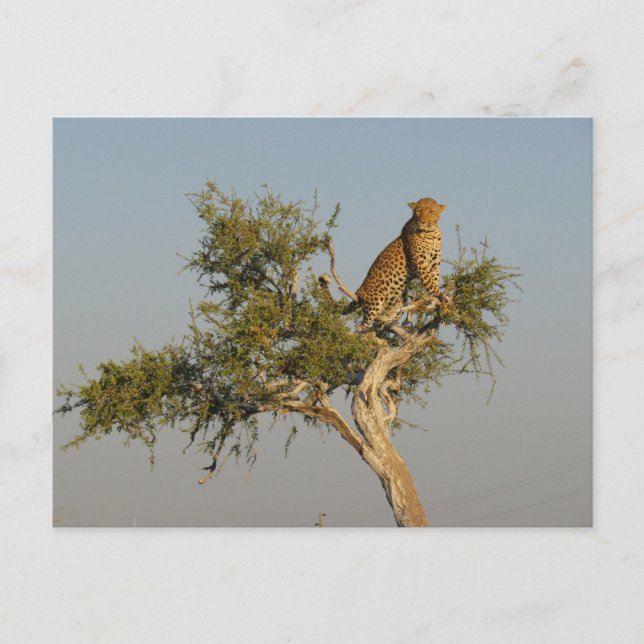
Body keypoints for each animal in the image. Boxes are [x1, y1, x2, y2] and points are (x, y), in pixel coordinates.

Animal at [346, 197, 446, 332]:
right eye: (418, 211)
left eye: (431, 212)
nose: (422, 221)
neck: (431, 234)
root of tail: (359, 290)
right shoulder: (420, 263)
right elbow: (430, 283)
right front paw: (441, 298)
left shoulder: (434, 266)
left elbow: (434, 281)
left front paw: (436, 300)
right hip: (376, 299)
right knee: (361, 326)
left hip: (401, 299)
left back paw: (389, 322)